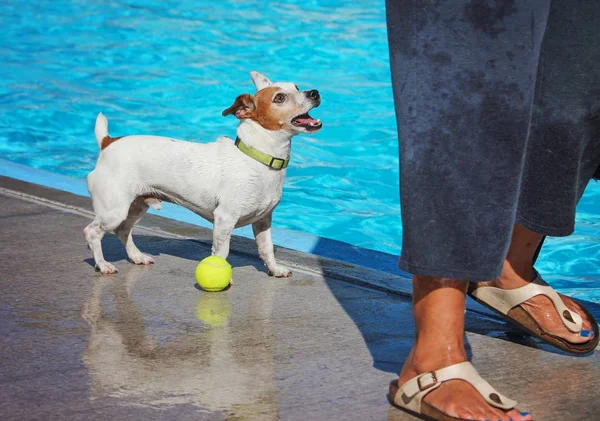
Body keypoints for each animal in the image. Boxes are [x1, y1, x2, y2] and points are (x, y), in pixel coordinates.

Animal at [83, 71, 324, 276]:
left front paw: (274, 269)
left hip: (136, 206)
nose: (314, 92)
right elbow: (221, 253)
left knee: (123, 231)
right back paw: (103, 265)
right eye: (279, 98)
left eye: (296, 86)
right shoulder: (224, 219)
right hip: (113, 211)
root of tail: (108, 142)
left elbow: (267, 248)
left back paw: (136, 256)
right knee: (92, 232)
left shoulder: (263, 221)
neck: (258, 158)